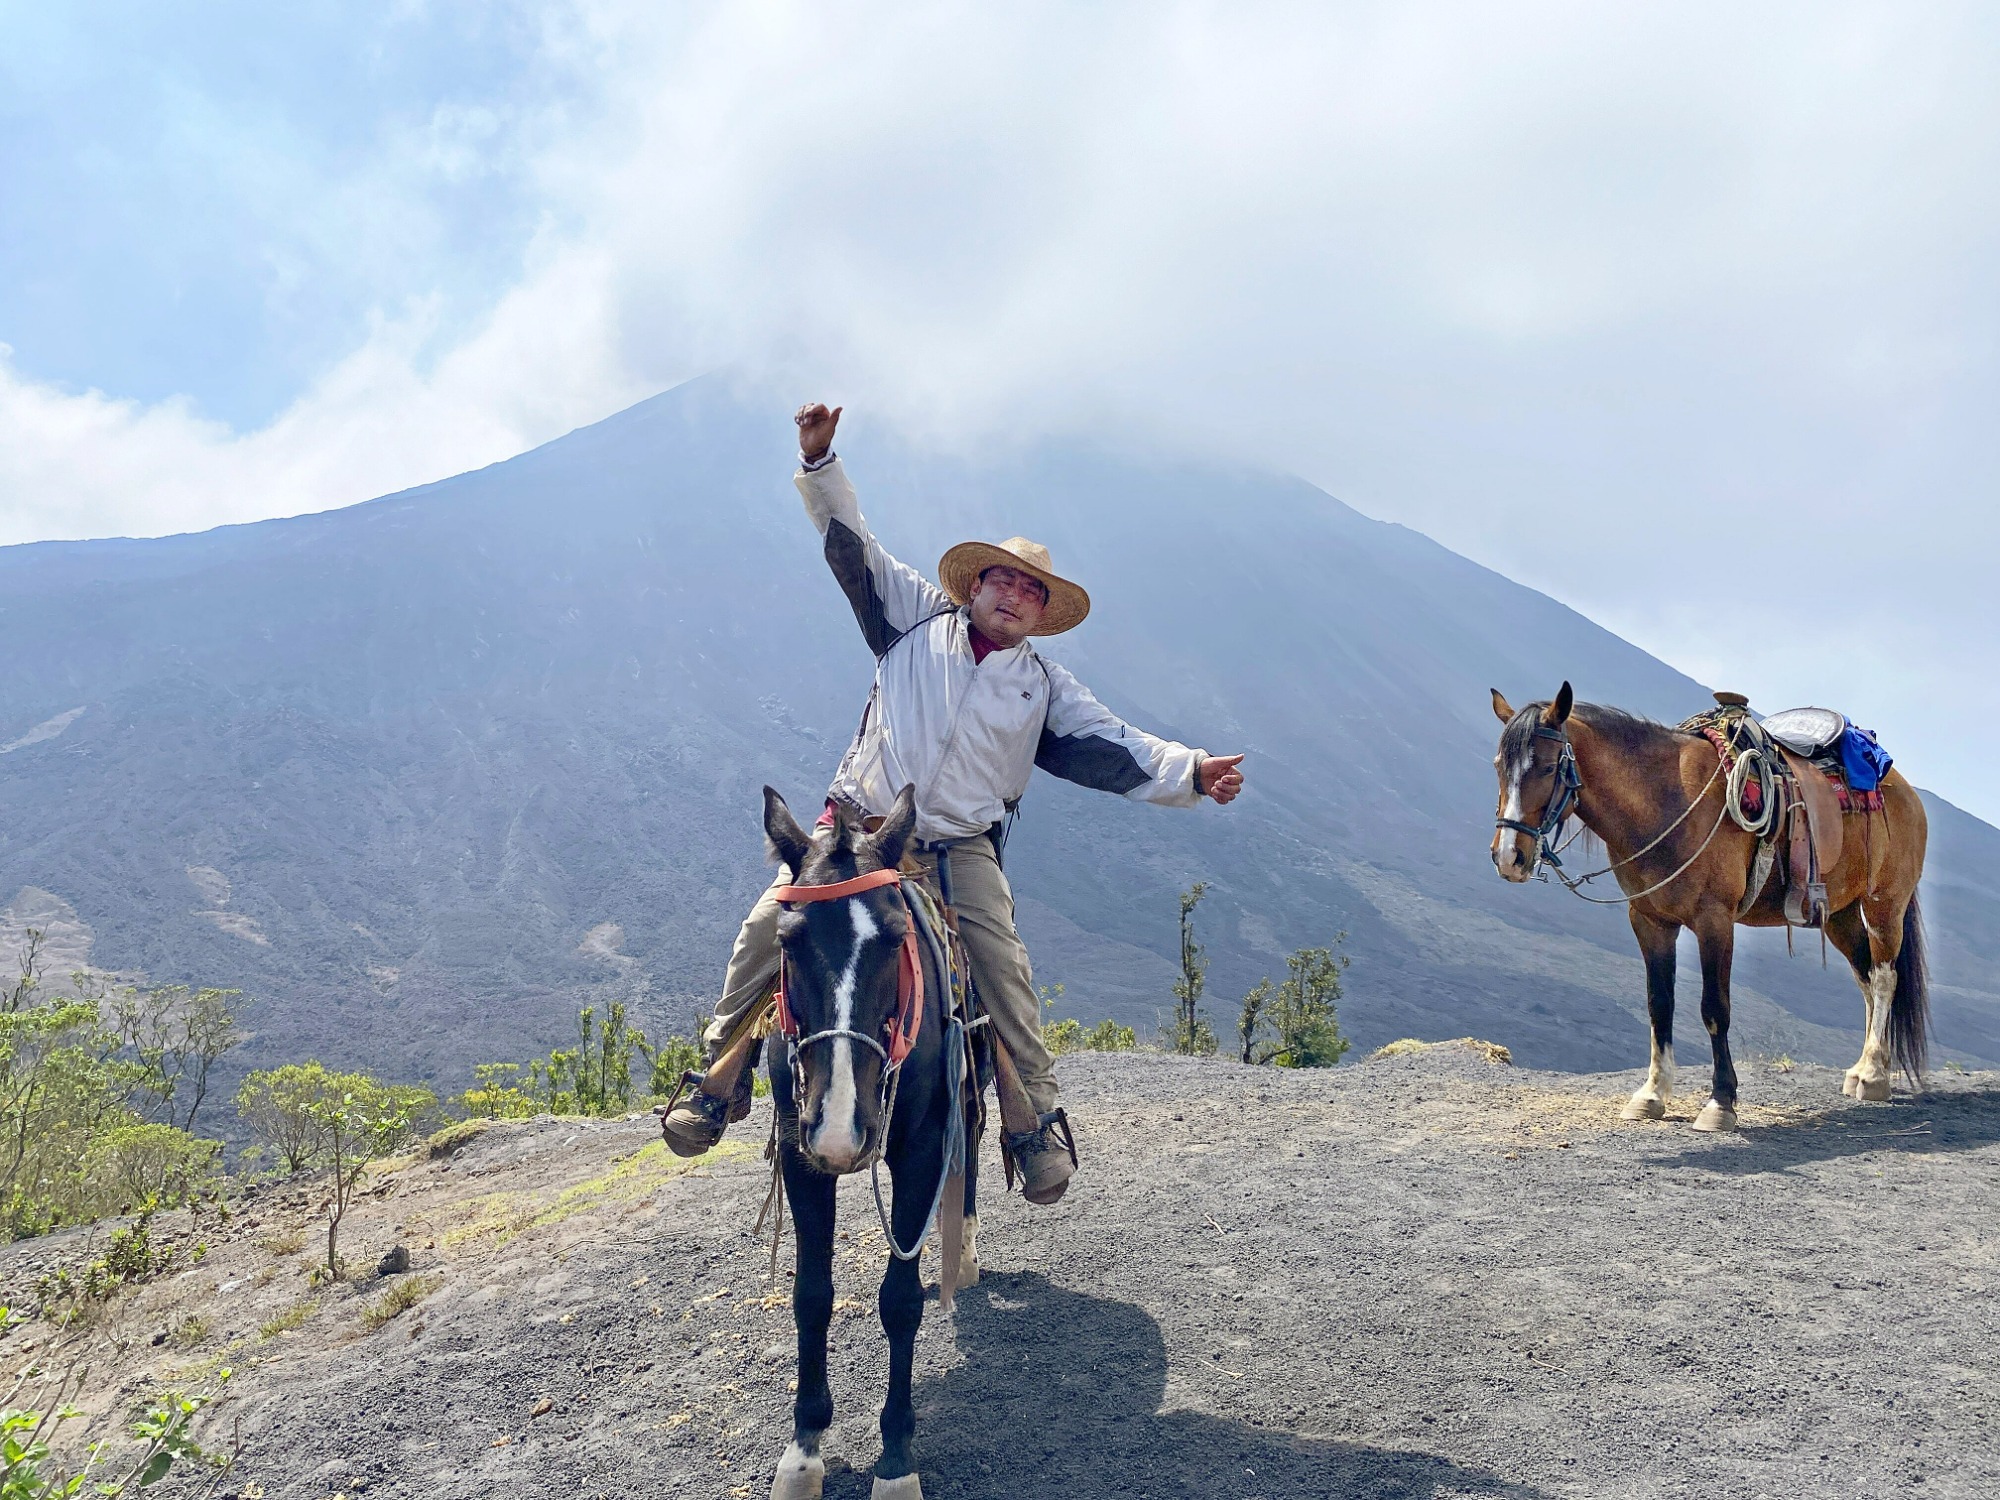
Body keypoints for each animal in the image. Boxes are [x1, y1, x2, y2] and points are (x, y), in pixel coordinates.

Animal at [758, 782, 981, 1500]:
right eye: (788, 940)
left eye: (894, 938)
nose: (839, 1128)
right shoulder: (800, 1152)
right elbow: (811, 1296)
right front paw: (803, 1452)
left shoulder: (920, 1150)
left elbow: (899, 1303)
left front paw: (895, 1461)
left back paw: (965, 1252)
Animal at [1488, 683, 1930, 1131]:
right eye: (1499, 766)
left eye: (1547, 768)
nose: (1509, 856)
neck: (1664, 800)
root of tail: (1905, 790)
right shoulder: (1650, 920)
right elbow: (1659, 1004)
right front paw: (1651, 1094)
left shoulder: (1714, 920)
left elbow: (1715, 1009)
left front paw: (1721, 1103)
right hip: (1840, 913)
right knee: (1865, 979)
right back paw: (1864, 1068)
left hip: (1884, 904)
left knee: (1884, 978)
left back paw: (1873, 1075)